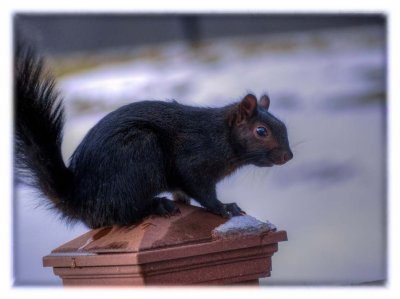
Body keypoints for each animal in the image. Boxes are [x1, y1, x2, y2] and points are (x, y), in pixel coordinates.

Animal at [14, 44, 294, 229]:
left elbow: (183, 192)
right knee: (123, 213)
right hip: (138, 153)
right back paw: (156, 206)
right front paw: (224, 207)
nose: (288, 156)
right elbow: (201, 190)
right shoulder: (193, 160)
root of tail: (80, 198)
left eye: (282, 125)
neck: (221, 135)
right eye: (261, 131)